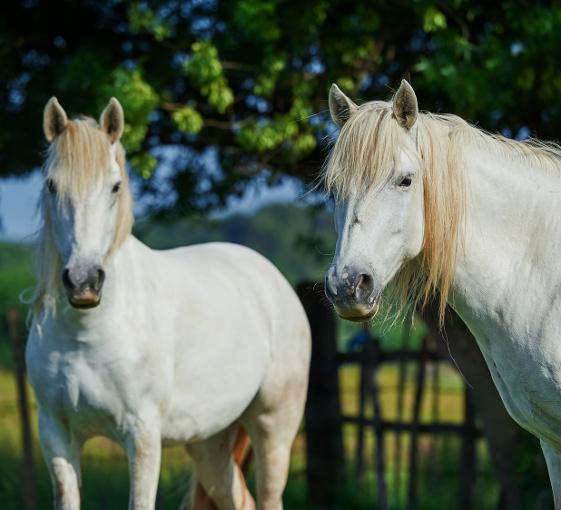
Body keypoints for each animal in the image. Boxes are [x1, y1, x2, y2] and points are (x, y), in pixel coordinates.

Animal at [26, 96, 310, 510]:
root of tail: (271, 277)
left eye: (115, 187)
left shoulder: (143, 435)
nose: (83, 282)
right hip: (209, 441)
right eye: (51, 185)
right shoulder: (55, 436)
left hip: (274, 428)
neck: (88, 335)